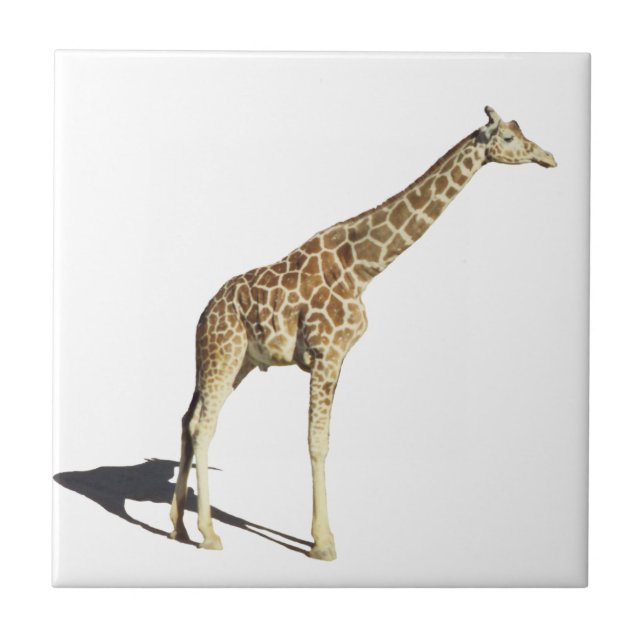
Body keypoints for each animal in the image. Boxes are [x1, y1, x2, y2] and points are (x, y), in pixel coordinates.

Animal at [168, 106, 557, 561]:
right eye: (509, 139)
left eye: (522, 131)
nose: (548, 157)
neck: (363, 266)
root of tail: (204, 313)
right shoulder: (326, 353)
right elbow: (317, 442)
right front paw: (323, 543)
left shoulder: (339, 359)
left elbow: (324, 439)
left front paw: (323, 537)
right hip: (224, 352)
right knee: (203, 425)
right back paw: (208, 534)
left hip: (232, 359)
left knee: (187, 419)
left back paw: (177, 527)